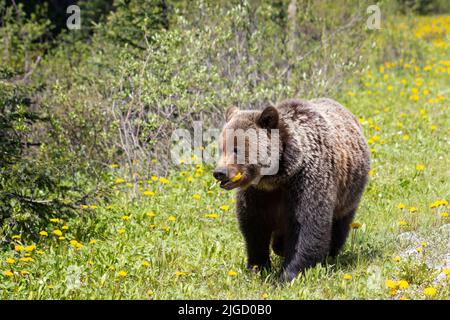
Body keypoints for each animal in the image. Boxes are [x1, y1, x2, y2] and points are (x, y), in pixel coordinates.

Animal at [213, 99, 370, 282]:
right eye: (222, 148)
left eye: (237, 149)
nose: (220, 173)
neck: (278, 178)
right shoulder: (257, 194)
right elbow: (254, 227)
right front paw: (258, 268)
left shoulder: (306, 181)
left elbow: (307, 227)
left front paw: (287, 275)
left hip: (348, 193)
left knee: (339, 226)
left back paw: (329, 255)